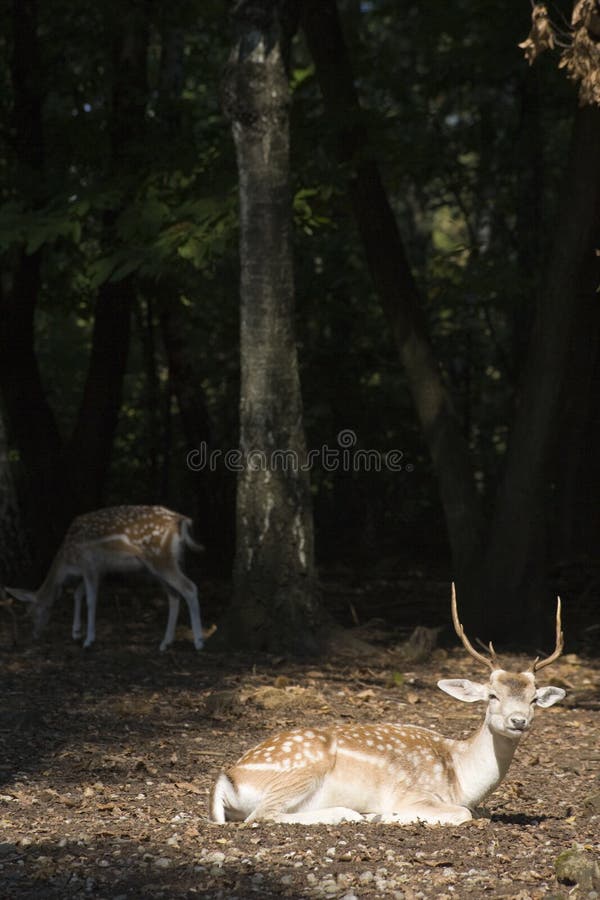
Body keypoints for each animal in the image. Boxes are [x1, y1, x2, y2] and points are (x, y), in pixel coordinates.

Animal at [6, 505, 213, 652]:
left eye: (31, 611)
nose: (34, 634)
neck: (68, 561)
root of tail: (182, 521)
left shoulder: (89, 563)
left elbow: (90, 600)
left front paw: (88, 640)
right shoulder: (99, 569)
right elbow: (77, 594)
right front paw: (76, 632)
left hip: (160, 557)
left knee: (189, 587)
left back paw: (199, 642)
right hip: (161, 564)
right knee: (174, 595)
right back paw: (165, 643)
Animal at [209, 585, 565, 825]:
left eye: (534, 698)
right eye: (492, 695)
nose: (518, 720)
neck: (459, 778)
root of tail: (229, 778)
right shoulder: (415, 793)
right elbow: (464, 813)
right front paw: (386, 815)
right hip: (300, 770)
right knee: (261, 815)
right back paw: (360, 815)